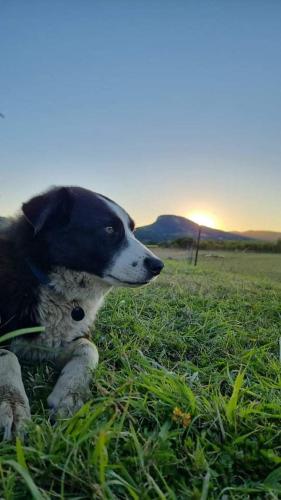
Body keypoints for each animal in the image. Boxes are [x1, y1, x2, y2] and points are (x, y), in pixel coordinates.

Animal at [0, 186, 162, 440]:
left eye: (132, 230)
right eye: (109, 229)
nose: (158, 266)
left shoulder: (61, 341)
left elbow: (88, 348)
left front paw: (71, 394)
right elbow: (8, 358)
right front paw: (12, 405)